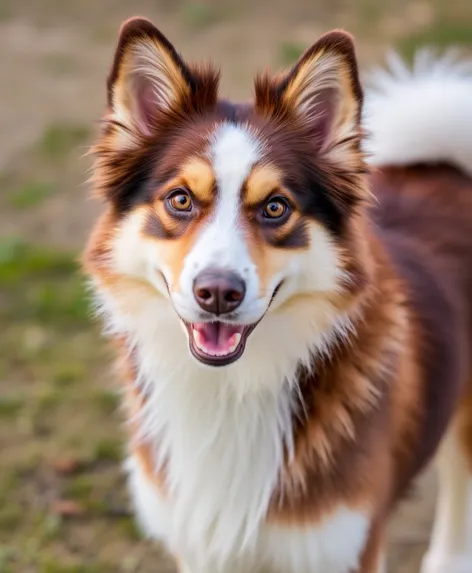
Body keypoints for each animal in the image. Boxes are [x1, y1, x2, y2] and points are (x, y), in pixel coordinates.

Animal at [83, 15, 472, 568]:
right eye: (180, 199)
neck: (231, 389)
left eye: (275, 208)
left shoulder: (348, 543)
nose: (217, 292)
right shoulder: (197, 545)